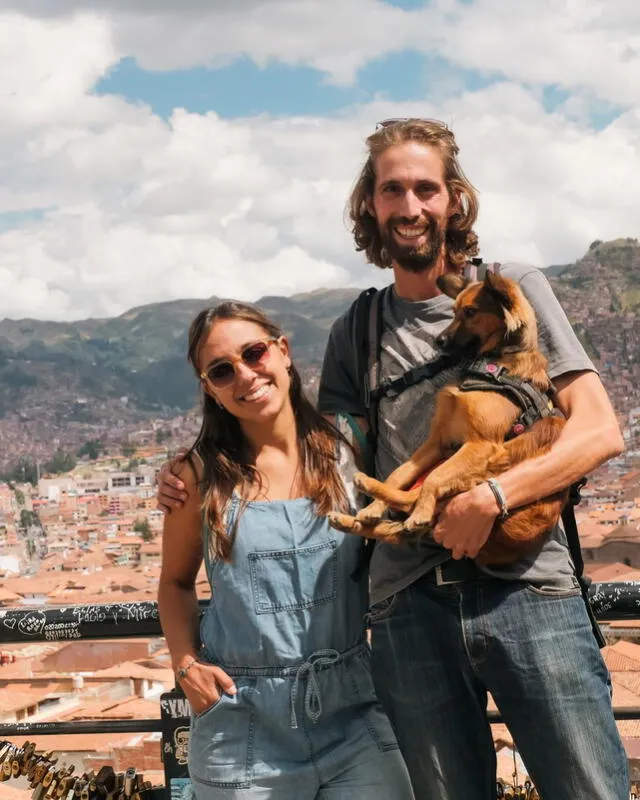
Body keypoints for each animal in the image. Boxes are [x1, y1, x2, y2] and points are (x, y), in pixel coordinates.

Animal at [330, 268, 568, 564]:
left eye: (471, 312)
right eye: (453, 312)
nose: (438, 341)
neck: (490, 365)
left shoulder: (480, 444)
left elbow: (434, 479)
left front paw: (415, 510)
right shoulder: (438, 442)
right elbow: (398, 474)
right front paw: (374, 508)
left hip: (490, 466)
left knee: (415, 501)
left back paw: (385, 495)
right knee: (402, 514)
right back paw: (352, 516)